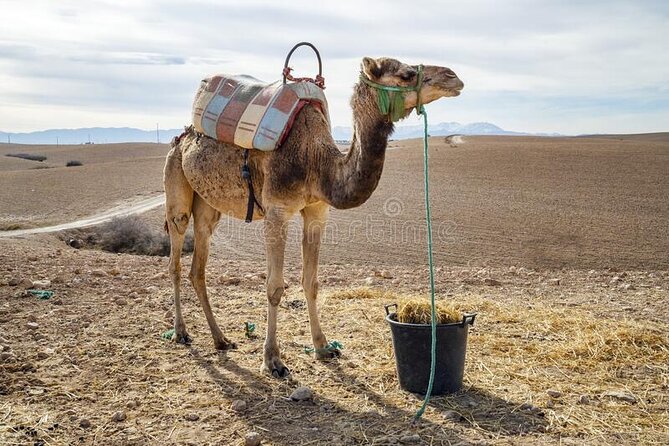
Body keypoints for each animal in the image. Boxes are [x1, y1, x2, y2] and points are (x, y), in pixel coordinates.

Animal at [164, 55, 462, 376]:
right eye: (406, 74)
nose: (453, 77)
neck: (316, 162)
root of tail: (183, 136)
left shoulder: (317, 212)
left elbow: (312, 283)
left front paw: (323, 347)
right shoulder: (277, 211)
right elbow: (274, 287)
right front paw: (273, 360)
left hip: (208, 206)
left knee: (198, 266)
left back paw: (220, 339)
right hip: (176, 182)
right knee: (176, 255)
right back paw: (181, 332)